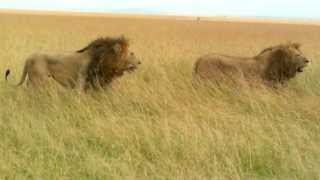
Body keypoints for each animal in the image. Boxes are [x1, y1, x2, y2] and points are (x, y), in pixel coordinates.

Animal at [5, 36, 141, 90]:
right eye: (131, 53)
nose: (139, 62)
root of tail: (28, 57)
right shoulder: (81, 84)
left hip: (32, 80)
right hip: (39, 81)